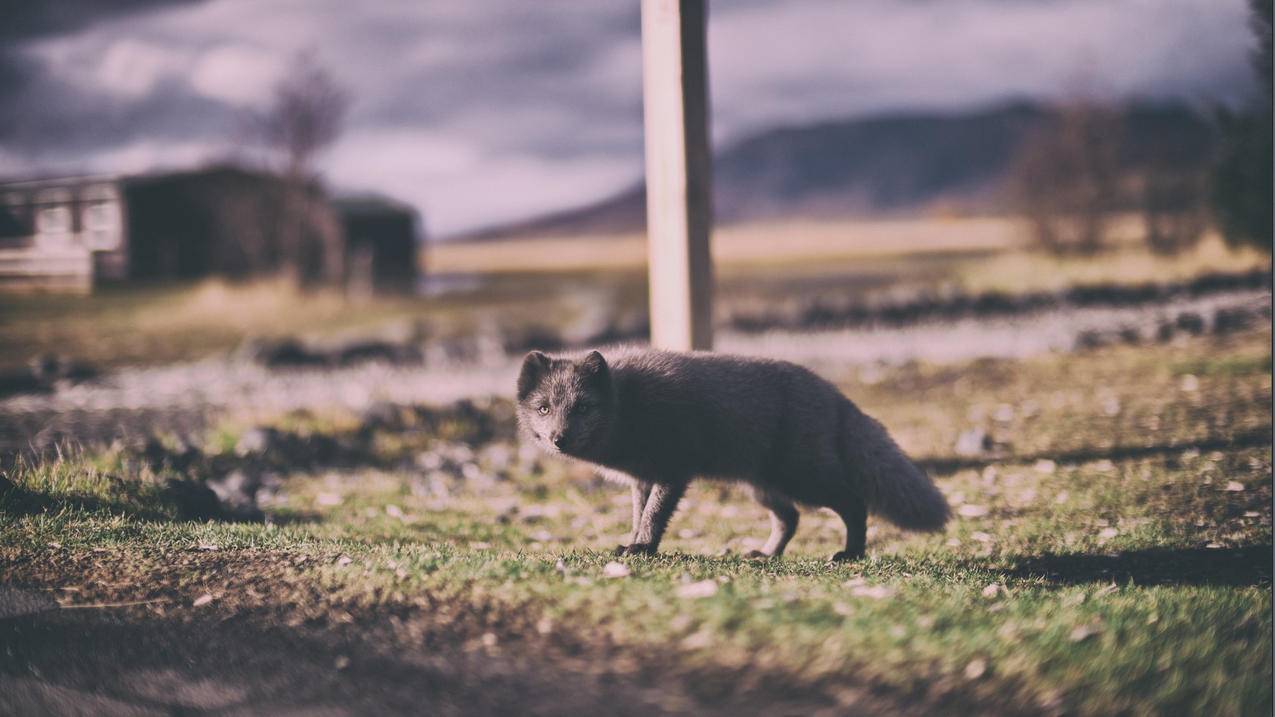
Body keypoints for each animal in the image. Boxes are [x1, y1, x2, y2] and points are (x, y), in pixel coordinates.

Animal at [515, 347, 948, 558]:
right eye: (544, 408)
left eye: (583, 407)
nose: (559, 439)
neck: (630, 404)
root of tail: (833, 393)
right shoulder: (642, 478)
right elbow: (639, 515)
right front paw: (633, 542)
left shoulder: (673, 470)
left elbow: (654, 516)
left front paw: (643, 548)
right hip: (762, 485)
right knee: (790, 518)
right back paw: (767, 555)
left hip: (803, 478)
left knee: (854, 503)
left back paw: (851, 553)